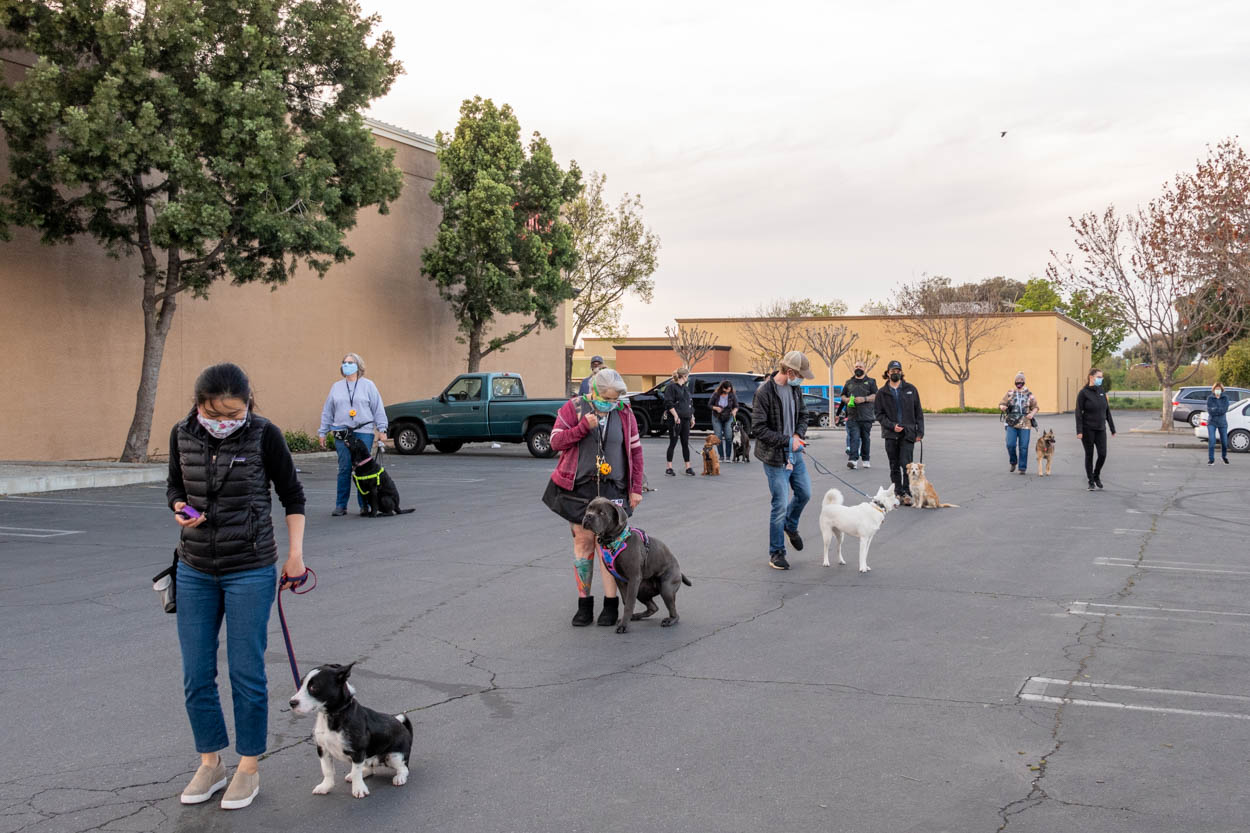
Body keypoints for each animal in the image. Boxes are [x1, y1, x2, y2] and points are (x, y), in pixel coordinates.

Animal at [577, 495, 690, 632]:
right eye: (588, 509)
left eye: (602, 513)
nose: (588, 516)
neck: (615, 540)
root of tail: (679, 570)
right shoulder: (620, 580)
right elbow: (626, 600)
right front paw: (627, 620)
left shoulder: (633, 578)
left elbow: (629, 603)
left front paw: (624, 625)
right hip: (641, 589)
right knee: (653, 607)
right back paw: (636, 616)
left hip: (666, 588)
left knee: (674, 612)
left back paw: (670, 620)